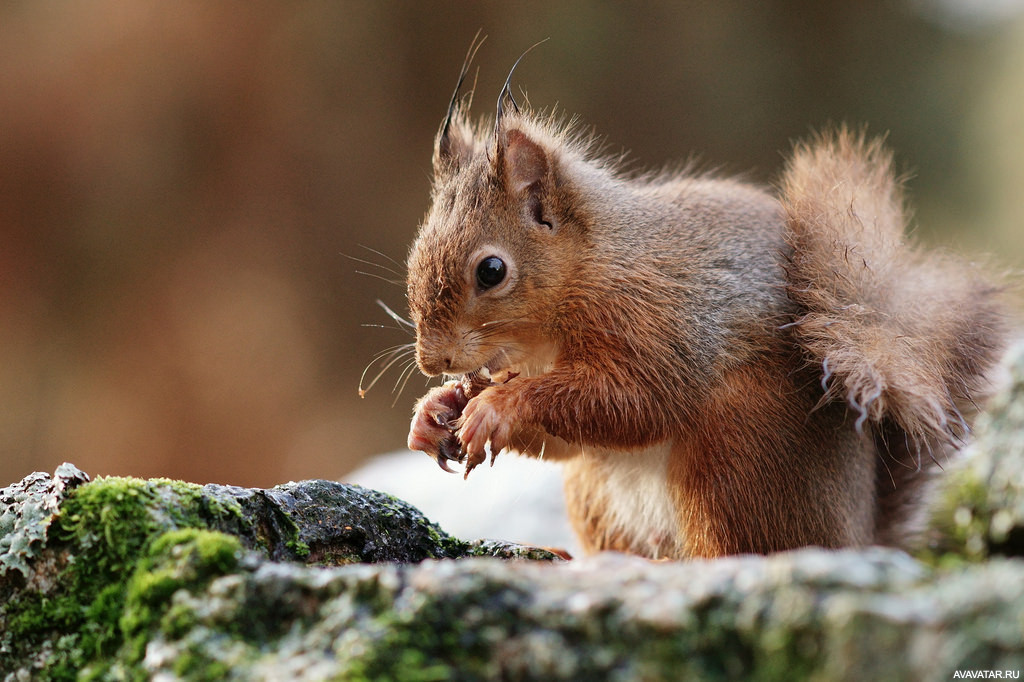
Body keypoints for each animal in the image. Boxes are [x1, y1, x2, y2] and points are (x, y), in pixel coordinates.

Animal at [401, 45, 1007, 561]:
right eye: (416, 251)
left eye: (492, 271)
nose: (432, 361)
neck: (590, 268)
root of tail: (855, 541)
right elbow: (570, 439)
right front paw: (436, 409)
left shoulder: (660, 321)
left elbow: (633, 401)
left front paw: (496, 406)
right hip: (598, 494)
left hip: (733, 459)